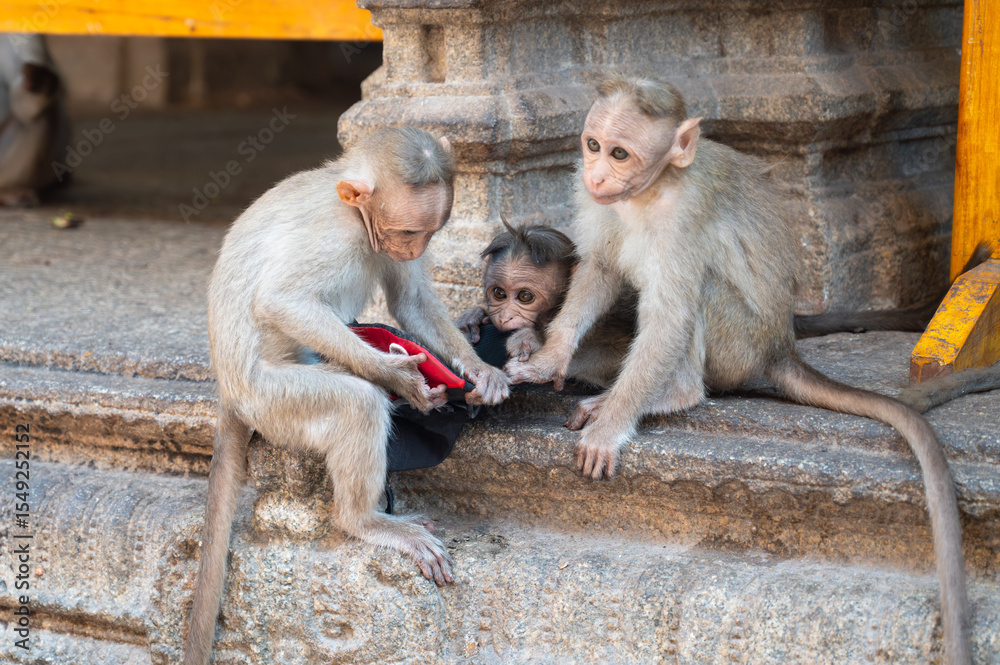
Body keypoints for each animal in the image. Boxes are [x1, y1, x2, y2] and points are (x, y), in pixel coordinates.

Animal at [183, 127, 510, 665]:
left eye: (427, 234)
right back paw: (365, 520)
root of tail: (228, 392)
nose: (411, 250)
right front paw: (399, 377)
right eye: (406, 232)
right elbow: (281, 302)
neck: (354, 211)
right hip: (271, 399)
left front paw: (480, 371)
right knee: (356, 403)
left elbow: (411, 302)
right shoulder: (339, 234)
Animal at [505, 75, 970, 665]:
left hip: (738, 345)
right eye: (592, 145)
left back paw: (673, 394)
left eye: (620, 153)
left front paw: (611, 427)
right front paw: (548, 358)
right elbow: (602, 269)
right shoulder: (600, 205)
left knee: (695, 291)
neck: (650, 191)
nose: (596, 174)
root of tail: (779, 345)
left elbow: (670, 316)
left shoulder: (683, 220)